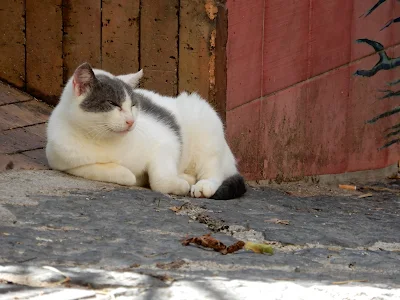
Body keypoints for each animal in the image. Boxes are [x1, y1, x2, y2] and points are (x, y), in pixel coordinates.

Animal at [47, 62, 247, 199]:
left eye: (133, 105)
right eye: (113, 104)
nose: (131, 121)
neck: (103, 140)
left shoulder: (167, 142)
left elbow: (160, 180)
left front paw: (180, 185)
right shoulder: (60, 161)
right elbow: (121, 174)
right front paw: (131, 175)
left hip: (205, 126)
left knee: (213, 169)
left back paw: (202, 185)